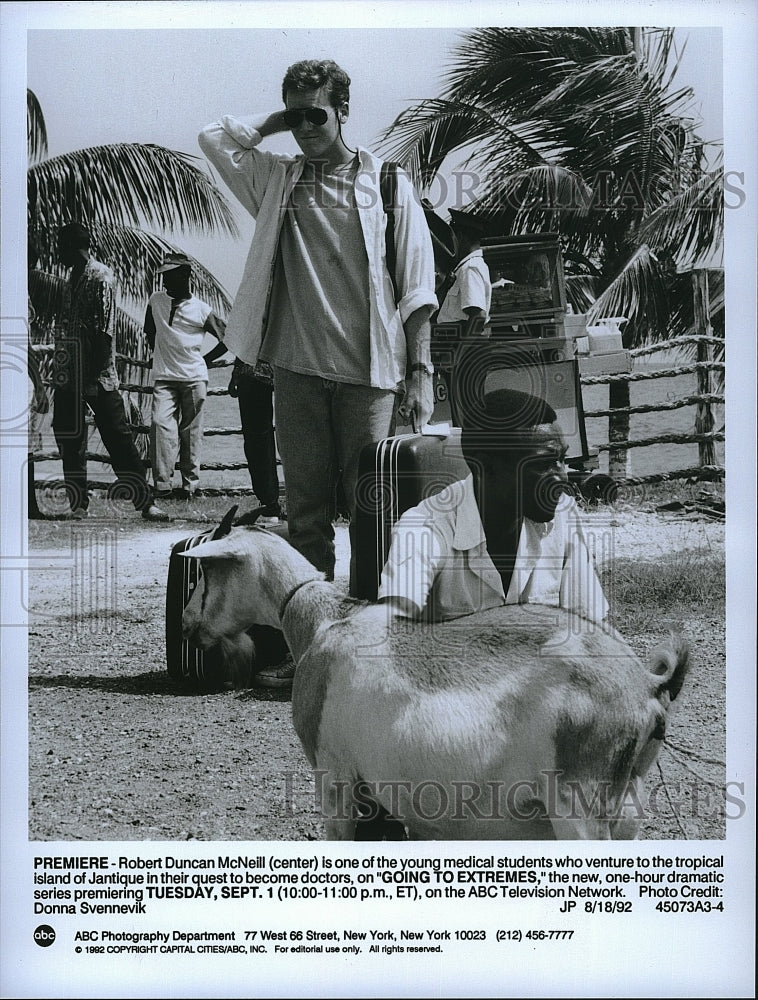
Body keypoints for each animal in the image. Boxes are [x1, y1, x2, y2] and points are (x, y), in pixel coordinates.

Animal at [181, 528, 692, 840]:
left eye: (205, 570)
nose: (187, 625)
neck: (326, 622)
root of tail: (647, 684)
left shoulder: (336, 776)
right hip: (626, 811)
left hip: (578, 809)